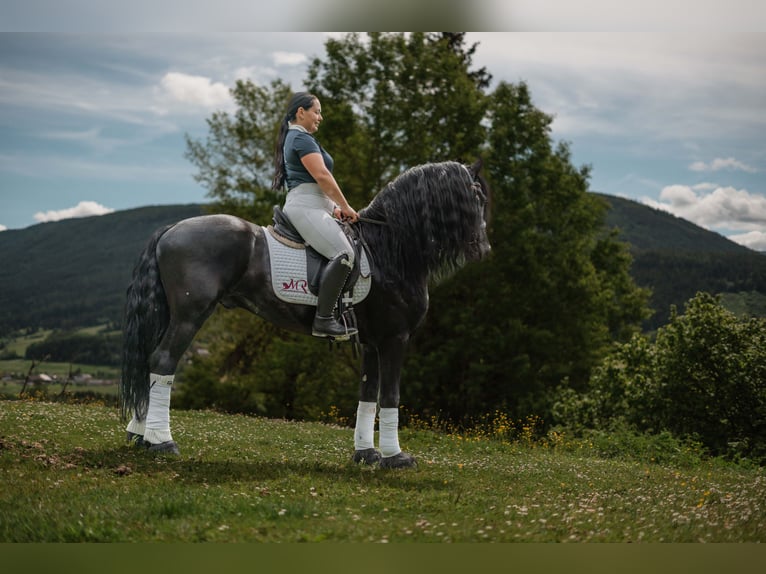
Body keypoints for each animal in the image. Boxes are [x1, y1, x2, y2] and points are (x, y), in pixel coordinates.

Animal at [120, 160, 492, 470]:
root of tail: (172, 229)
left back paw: (140, 435)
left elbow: (367, 393)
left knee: (149, 360)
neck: (389, 250)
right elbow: (390, 395)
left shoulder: (371, 342)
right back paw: (161, 441)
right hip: (190, 314)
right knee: (163, 360)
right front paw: (395, 457)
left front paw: (366, 454)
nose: (485, 250)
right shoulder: (394, 339)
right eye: (475, 197)